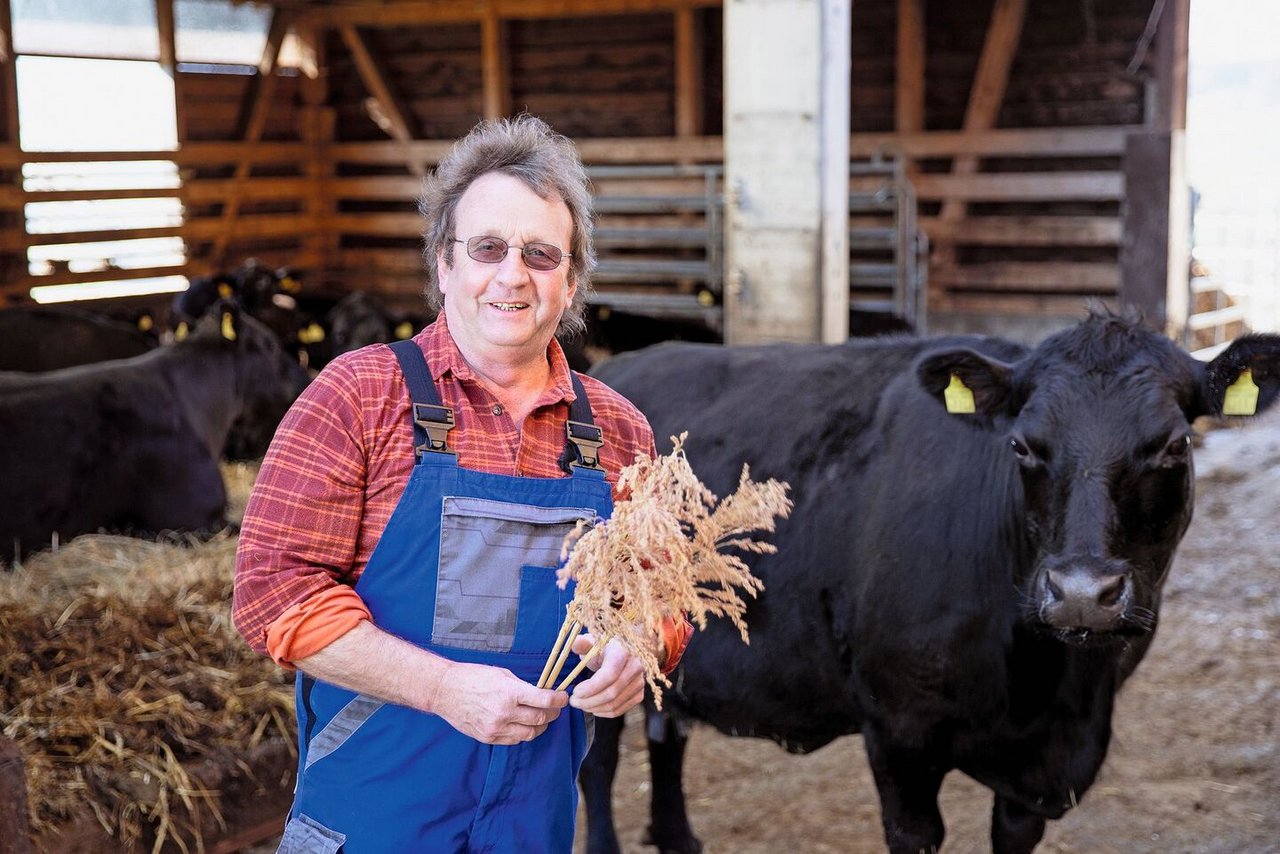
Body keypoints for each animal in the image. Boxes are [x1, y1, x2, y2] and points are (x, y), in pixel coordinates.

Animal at [586, 312, 1280, 854]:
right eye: (1023, 445)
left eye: (1175, 445)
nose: (1083, 592)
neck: (1055, 695)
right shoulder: (900, 732)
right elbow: (916, 831)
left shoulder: (1036, 781)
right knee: (599, 758)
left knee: (665, 728)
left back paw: (677, 837)